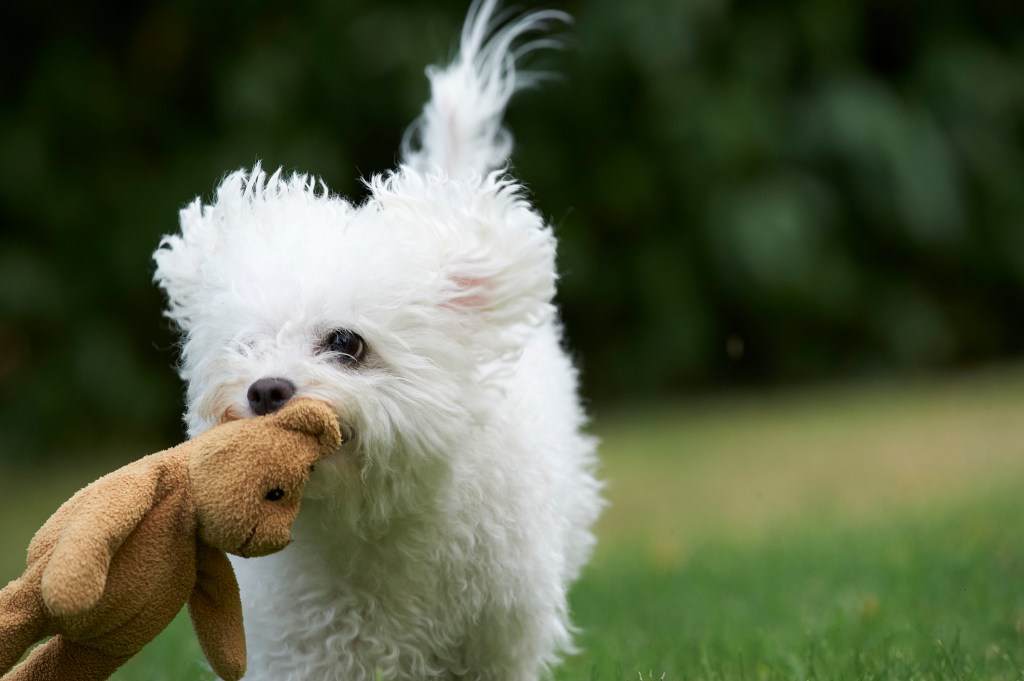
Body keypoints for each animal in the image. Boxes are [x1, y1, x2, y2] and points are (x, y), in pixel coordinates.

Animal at [151, 2, 598, 675]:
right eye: (247, 345)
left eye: (346, 342)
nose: (265, 390)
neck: (367, 524)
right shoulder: (306, 646)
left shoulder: (498, 635)